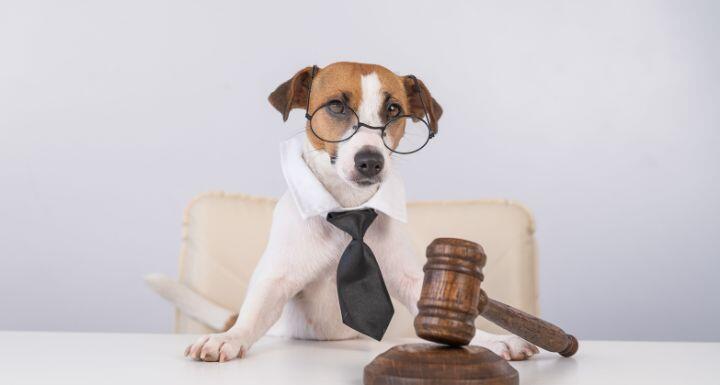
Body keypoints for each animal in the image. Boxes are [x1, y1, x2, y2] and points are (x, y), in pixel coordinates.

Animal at [186, 61, 540, 362]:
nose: (370, 161)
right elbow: (255, 313)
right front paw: (229, 338)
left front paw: (494, 339)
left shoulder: (411, 282)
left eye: (393, 109)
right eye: (336, 106)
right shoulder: (277, 278)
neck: (349, 206)